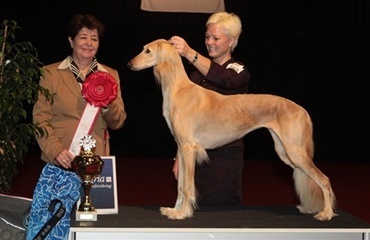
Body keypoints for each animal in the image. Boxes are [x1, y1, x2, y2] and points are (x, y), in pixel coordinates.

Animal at [127, 38, 336, 220]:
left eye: (148, 51)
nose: (129, 64)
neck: (179, 89)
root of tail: (303, 110)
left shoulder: (188, 148)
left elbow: (187, 187)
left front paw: (182, 214)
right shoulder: (181, 148)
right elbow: (180, 187)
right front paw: (174, 210)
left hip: (295, 152)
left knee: (324, 179)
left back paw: (326, 213)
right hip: (285, 152)